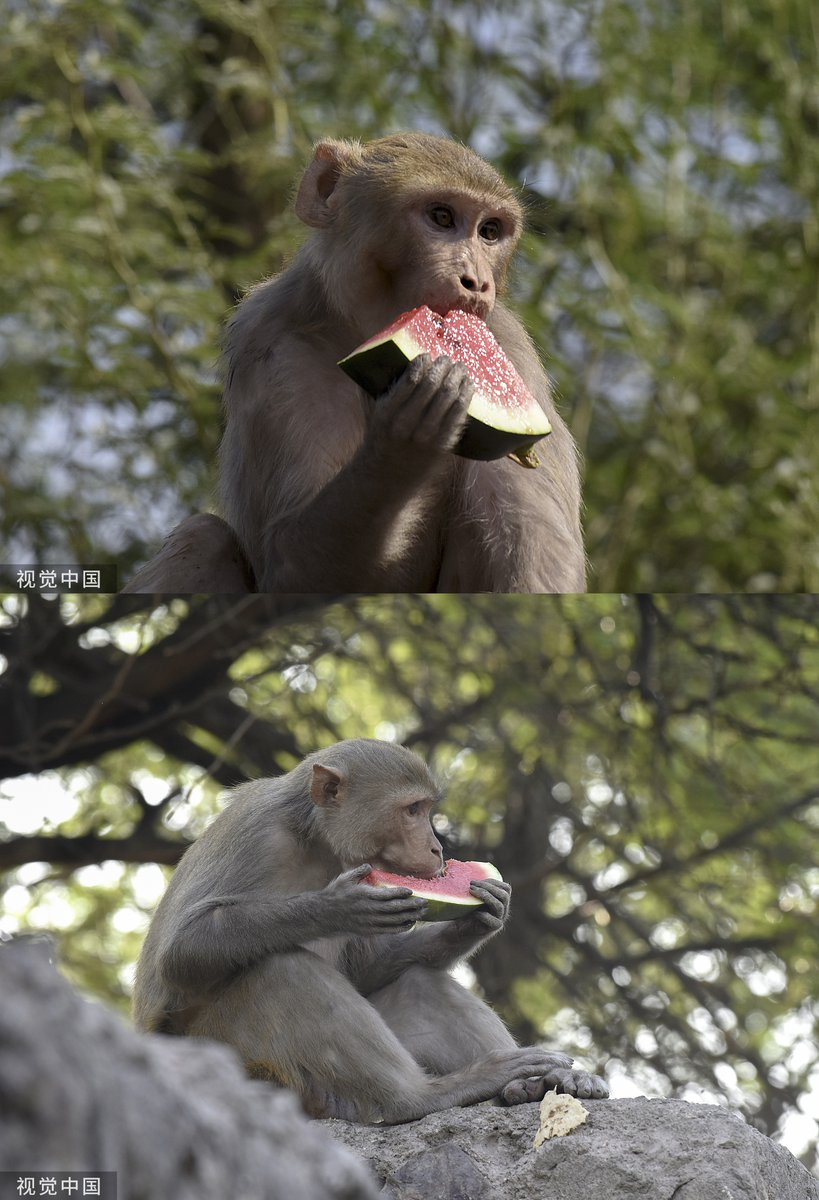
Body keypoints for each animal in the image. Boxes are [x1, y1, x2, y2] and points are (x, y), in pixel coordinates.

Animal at [121, 132, 583, 595]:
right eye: (441, 217)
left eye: (489, 231)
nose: (477, 281)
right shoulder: (275, 346)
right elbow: (292, 561)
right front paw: (399, 449)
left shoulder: (509, 344)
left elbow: (532, 550)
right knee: (203, 536)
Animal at [133, 734, 605, 1118]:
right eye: (412, 810)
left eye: (427, 810)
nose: (437, 848)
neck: (316, 839)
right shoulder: (257, 831)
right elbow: (182, 950)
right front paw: (336, 907)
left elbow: (366, 970)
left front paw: (481, 918)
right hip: (244, 1062)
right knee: (283, 969)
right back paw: (424, 1096)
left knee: (420, 983)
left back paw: (540, 1084)